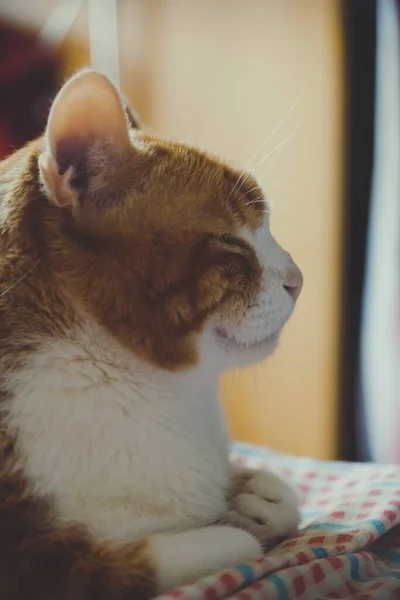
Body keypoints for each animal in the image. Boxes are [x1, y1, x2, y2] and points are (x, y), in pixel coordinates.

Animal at [0, 68, 302, 596]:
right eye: (230, 243)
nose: (300, 280)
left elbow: (281, 494)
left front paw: (254, 498)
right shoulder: (40, 564)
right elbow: (227, 543)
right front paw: (233, 517)